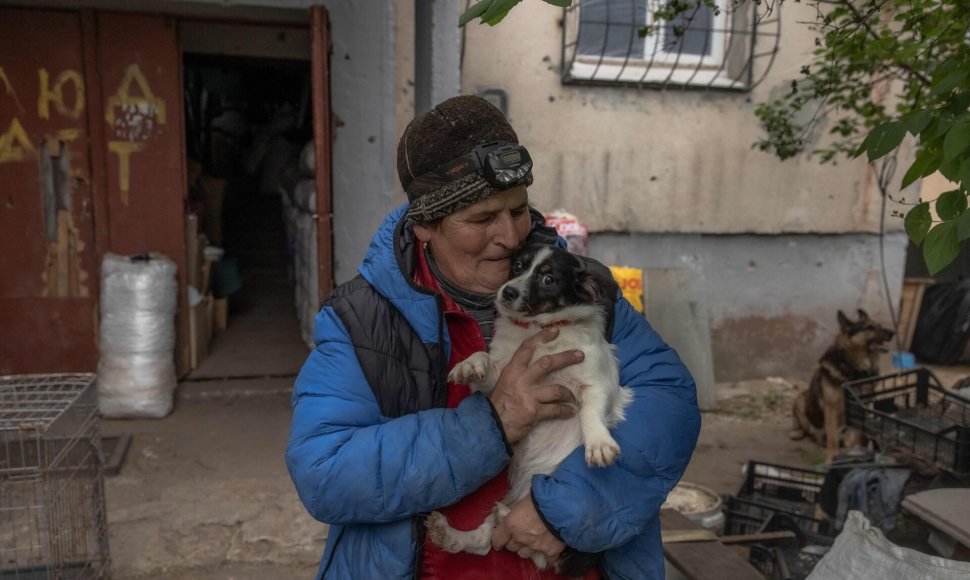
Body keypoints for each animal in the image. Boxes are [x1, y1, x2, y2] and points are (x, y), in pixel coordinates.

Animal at [428, 244, 632, 572]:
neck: (539, 330)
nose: (508, 291)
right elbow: (484, 359)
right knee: (486, 542)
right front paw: (469, 365)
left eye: (548, 279)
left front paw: (599, 444)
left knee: (540, 555)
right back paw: (453, 534)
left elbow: (589, 412)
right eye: (517, 267)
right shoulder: (500, 380)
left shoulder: (598, 384)